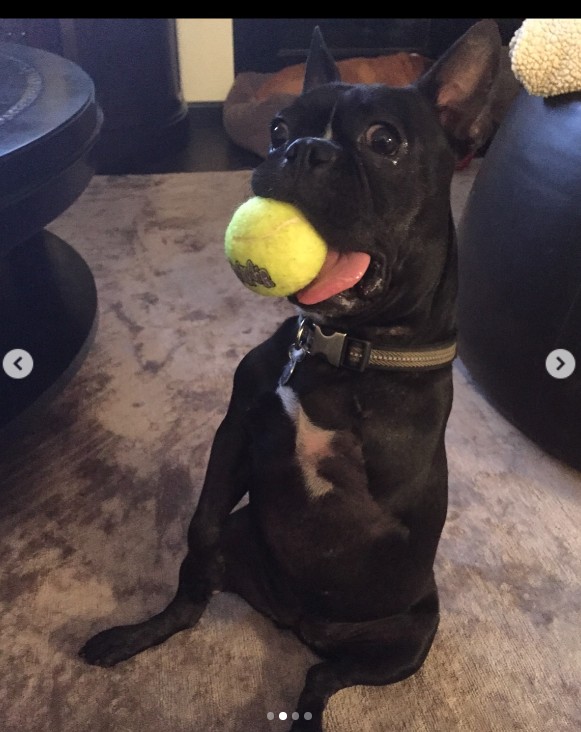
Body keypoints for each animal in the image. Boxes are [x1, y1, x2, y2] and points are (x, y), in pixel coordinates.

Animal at [79, 20, 500, 728]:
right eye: (278, 129)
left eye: (385, 141)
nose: (303, 151)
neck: (335, 343)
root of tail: (292, 623)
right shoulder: (237, 432)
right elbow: (201, 522)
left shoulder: (379, 469)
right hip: (243, 545)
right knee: (190, 604)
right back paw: (131, 636)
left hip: (408, 641)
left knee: (323, 679)